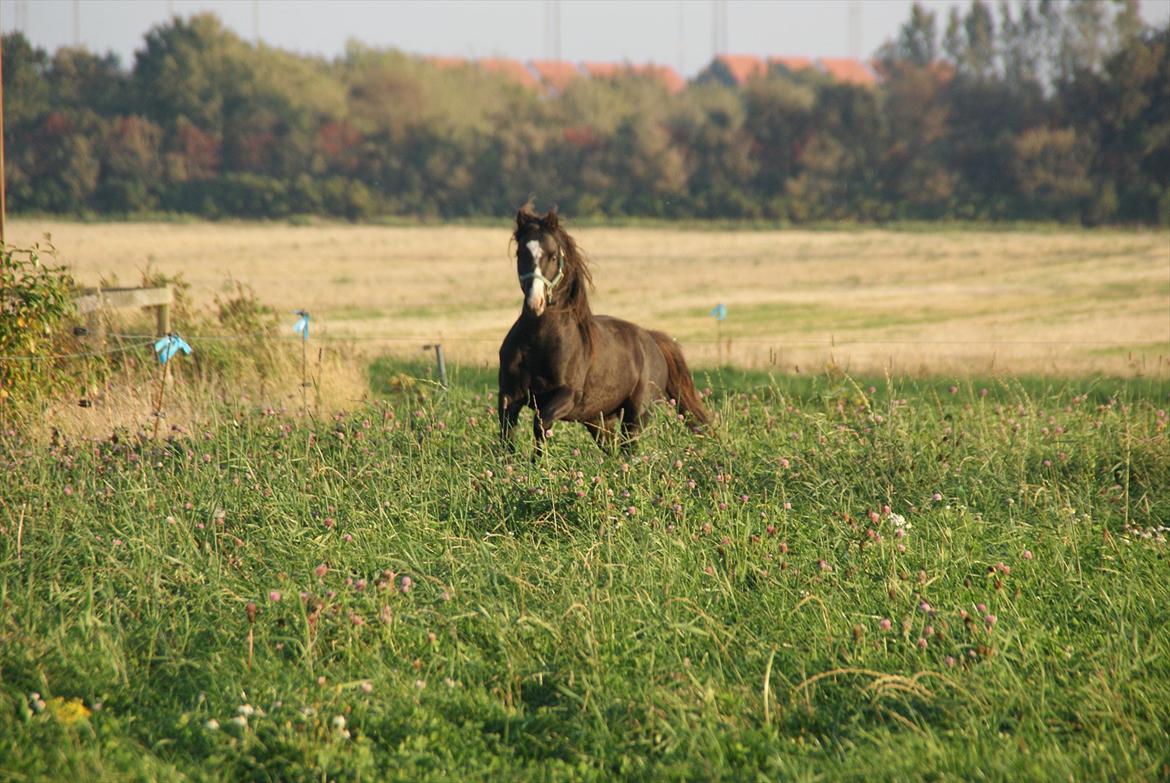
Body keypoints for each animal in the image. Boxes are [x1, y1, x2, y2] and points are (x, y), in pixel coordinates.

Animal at [498, 204, 706, 454]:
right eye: (521, 254)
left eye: (553, 255)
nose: (535, 303)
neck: (538, 341)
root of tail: (651, 339)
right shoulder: (509, 395)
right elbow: (507, 437)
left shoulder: (566, 395)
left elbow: (541, 426)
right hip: (598, 420)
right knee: (614, 451)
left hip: (635, 415)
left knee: (629, 449)